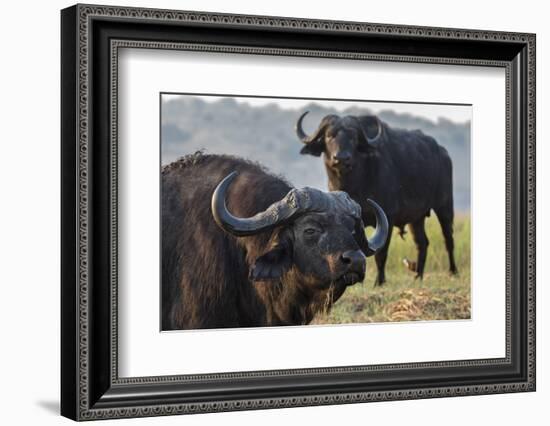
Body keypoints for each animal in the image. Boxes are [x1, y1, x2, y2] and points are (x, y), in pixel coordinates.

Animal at [296, 112, 460, 286]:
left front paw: (379, 281)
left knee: (448, 239)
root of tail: (442, 152)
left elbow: (381, 254)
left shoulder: (387, 216)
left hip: (445, 206)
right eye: (329, 136)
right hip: (417, 218)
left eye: (353, 137)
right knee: (422, 243)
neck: (355, 185)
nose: (341, 158)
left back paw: (453, 271)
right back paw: (418, 276)